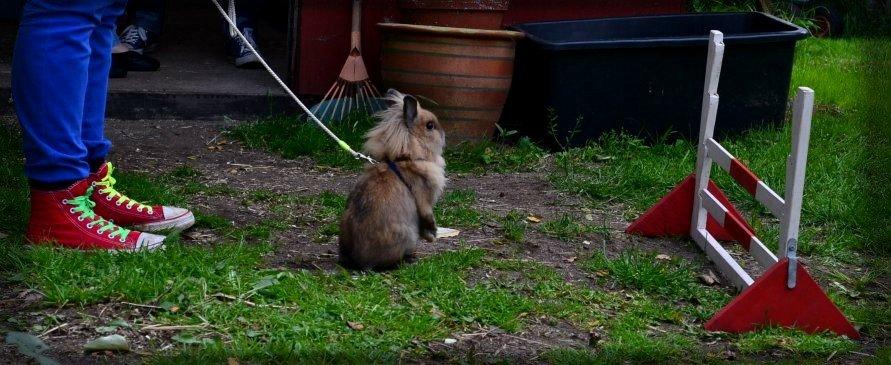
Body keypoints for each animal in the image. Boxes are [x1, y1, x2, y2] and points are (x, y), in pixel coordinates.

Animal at [338, 88, 446, 270]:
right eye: (430, 126)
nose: (444, 135)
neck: (405, 158)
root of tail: (361, 260)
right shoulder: (424, 198)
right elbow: (427, 217)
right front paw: (433, 235)